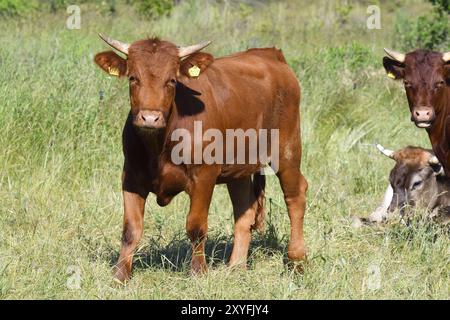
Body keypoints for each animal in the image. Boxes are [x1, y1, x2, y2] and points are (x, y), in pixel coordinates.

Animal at [93, 33, 308, 282]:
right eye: (133, 78)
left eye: (172, 81)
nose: (150, 118)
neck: (160, 146)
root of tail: (269, 53)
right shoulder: (131, 177)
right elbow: (130, 229)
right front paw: (120, 276)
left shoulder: (204, 176)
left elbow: (195, 226)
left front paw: (198, 272)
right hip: (239, 168)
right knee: (245, 211)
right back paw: (236, 267)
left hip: (287, 151)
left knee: (295, 196)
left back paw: (297, 260)